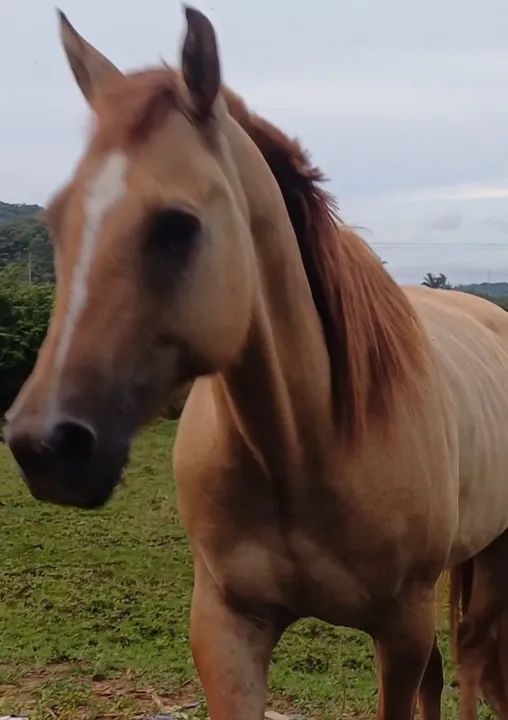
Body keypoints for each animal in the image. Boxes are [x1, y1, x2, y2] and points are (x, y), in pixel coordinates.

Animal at [4, 8, 508, 720]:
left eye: (178, 225)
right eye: (56, 219)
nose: (45, 446)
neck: (304, 443)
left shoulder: (399, 628)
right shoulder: (226, 628)